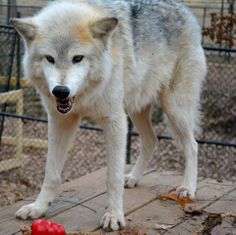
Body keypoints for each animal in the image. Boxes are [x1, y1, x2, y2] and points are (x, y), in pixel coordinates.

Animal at [11, 0, 206, 231]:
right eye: (49, 59)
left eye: (77, 58)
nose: (60, 91)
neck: (85, 96)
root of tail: (187, 11)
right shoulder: (60, 120)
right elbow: (51, 173)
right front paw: (38, 207)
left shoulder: (115, 121)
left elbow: (112, 176)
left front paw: (114, 216)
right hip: (136, 109)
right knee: (152, 140)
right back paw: (133, 178)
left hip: (175, 109)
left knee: (192, 146)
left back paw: (188, 188)